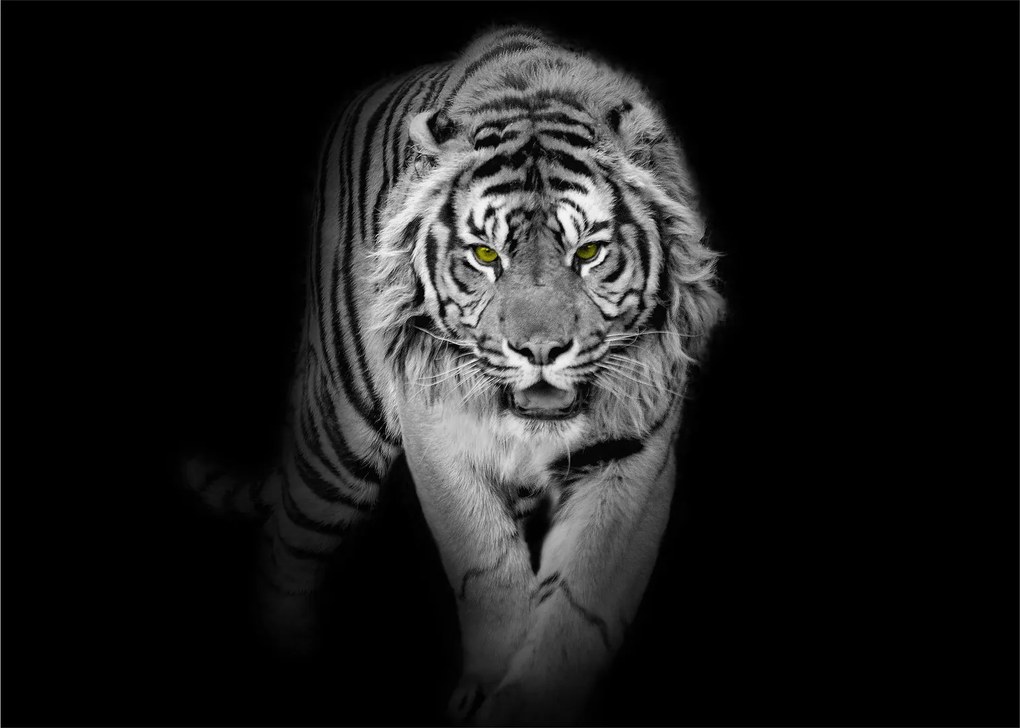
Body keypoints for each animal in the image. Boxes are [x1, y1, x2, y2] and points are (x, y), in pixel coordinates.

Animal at [186, 24, 723, 725]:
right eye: (486, 255)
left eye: (589, 252)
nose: (540, 349)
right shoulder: (438, 435)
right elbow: (487, 571)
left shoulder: (634, 454)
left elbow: (579, 604)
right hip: (340, 434)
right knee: (287, 543)